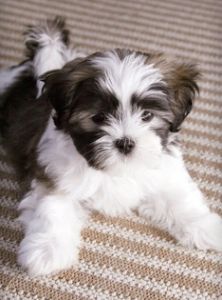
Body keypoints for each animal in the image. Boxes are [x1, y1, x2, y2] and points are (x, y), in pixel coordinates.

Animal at [0, 15, 221, 274]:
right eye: (99, 118)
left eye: (147, 115)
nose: (125, 142)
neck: (113, 170)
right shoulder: (53, 174)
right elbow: (52, 208)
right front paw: (47, 251)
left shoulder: (164, 172)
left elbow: (181, 198)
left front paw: (206, 227)